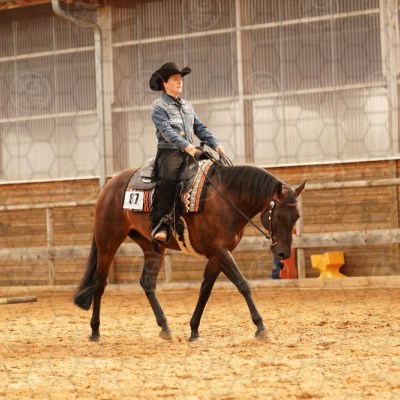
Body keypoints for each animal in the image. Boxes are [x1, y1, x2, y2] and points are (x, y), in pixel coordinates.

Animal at [74, 157, 306, 342]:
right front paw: (261, 327)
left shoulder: (217, 254)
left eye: (296, 216)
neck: (225, 199)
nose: (283, 253)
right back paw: (95, 331)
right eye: (279, 215)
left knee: (147, 282)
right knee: (99, 283)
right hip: (107, 243)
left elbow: (205, 289)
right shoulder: (220, 251)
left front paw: (194, 330)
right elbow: (243, 284)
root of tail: (109, 185)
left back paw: (165, 327)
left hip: (152, 247)